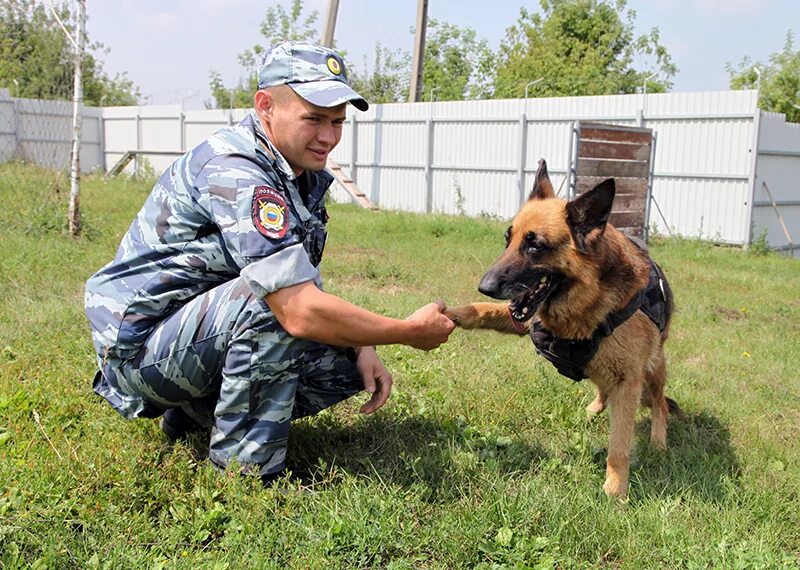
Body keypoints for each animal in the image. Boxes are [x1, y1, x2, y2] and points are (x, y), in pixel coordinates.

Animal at [444, 158, 680, 494]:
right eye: (508, 239)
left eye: (535, 246)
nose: (484, 286)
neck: (587, 300)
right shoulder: (526, 321)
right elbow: (484, 310)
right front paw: (451, 314)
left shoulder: (628, 381)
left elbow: (619, 444)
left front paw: (616, 489)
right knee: (604, 388)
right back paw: (594, 409)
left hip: (654, 368)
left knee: (659, 404)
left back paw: (658, 441)